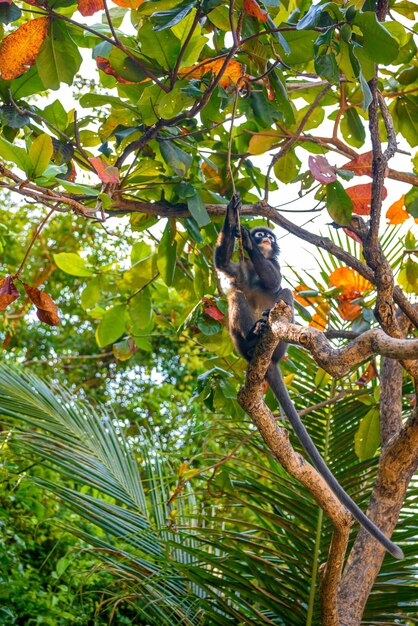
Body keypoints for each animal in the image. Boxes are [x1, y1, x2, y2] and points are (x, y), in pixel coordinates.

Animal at [214, 193, 404, 560]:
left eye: (269, 236)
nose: (264, 238)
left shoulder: (267, 270)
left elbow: (275, 282)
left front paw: (247, 240)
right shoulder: (238, 269)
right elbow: (223, 264)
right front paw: (232, 215)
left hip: (281, 343)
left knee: (285, 293)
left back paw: (264, 329)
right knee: (235, 295)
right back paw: (252, 340)